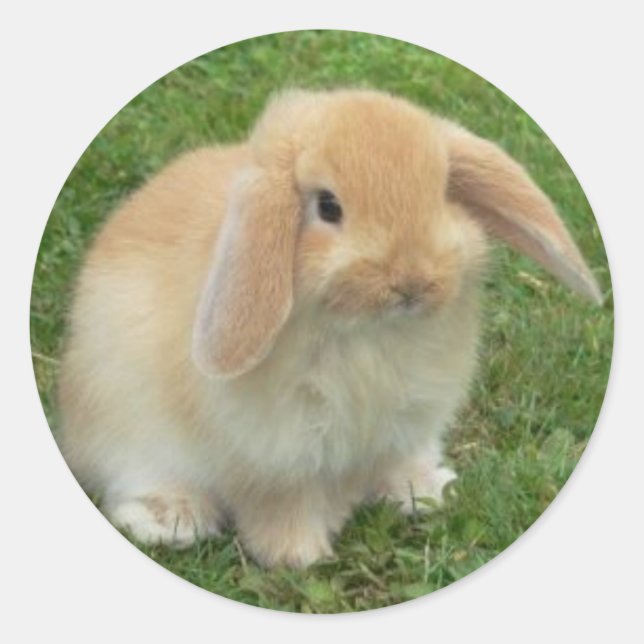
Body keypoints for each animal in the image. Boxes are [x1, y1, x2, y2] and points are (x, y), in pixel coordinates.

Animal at [57, 89, 602, 568]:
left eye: (443, 192)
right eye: (328, 206)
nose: (412, 282)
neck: (369, 333)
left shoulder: (402, 426)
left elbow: (389, 462)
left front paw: (421, 494)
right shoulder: (278, 458)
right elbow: (282, 509)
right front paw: (299, 557)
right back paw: (169, 520)